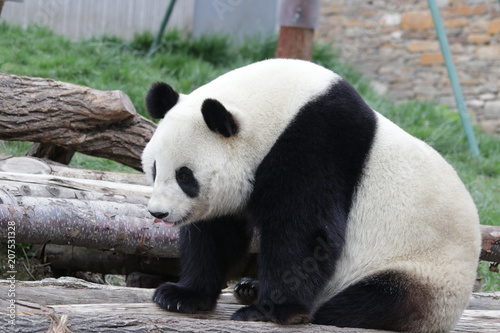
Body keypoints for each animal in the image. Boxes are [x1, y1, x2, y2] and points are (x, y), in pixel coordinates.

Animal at [141, 58, 480, 330]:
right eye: (155, 169)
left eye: (185, 176)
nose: (159, 213)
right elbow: (216, 233)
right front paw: (181, 295)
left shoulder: (316, 144)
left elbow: (303, 233)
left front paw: (269, 310)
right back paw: (249, 286)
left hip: (425, 272)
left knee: (378, 300)